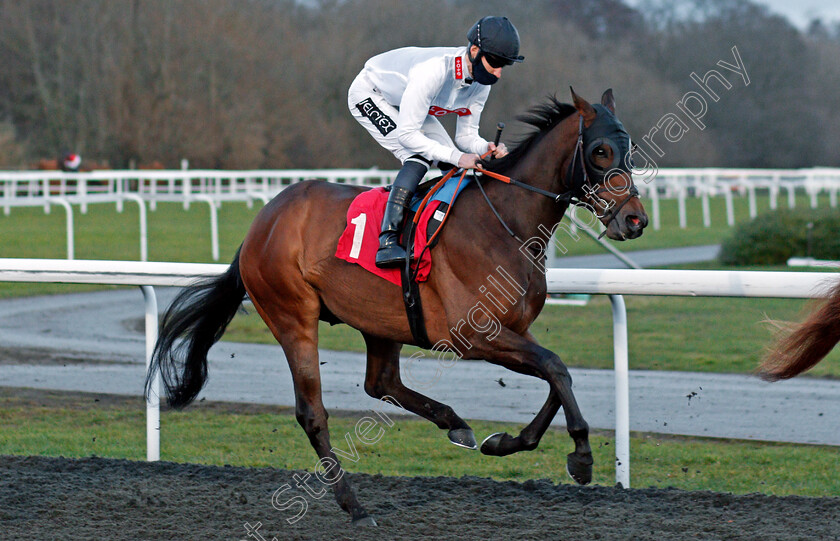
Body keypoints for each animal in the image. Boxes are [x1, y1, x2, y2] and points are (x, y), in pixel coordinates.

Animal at [148, 87, 648, 524]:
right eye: (600, 151)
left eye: (630, 150)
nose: (635, 220)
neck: (505, 223)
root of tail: (260, 225)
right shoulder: (474, 335)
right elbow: (556, 367)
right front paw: (581, 457)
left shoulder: (515, 330)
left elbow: (555, 375)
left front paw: (505, 441)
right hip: (293, 316)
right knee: (313, 413)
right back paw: (354, 506)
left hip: (380, 320)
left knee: (381, 382)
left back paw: (455, 423)